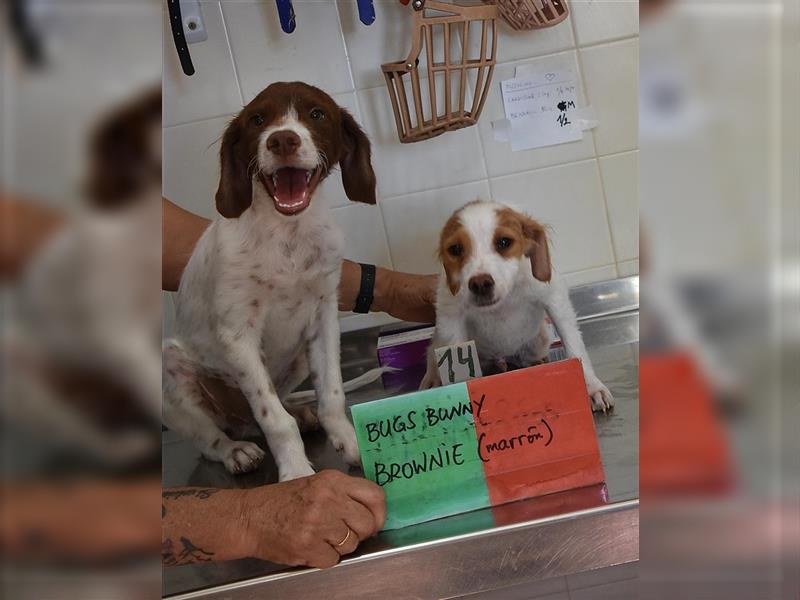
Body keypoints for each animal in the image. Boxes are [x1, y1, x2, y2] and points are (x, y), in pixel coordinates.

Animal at [162, 82, 378, 480]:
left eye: (317, 114)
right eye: (258, 119)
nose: (282, 141)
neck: (287, 235)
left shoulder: (323, 319)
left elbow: (332, 396)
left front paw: (353, 444)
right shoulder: (238, 335)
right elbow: (274, 420)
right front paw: (296, 474)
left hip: (300, 359)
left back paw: (300, 412)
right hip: (172, 372)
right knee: (212, 438)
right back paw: (236, 450)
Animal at [422, 202, 616, 412]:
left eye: (504, 242)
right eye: (455, 249)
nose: (480, 284)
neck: (503, 302)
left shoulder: (554, 299)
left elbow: (575, 346)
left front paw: (592, 387)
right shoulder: (450, 317)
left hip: (539, 340)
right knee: (431, 350)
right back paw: (432, 378)